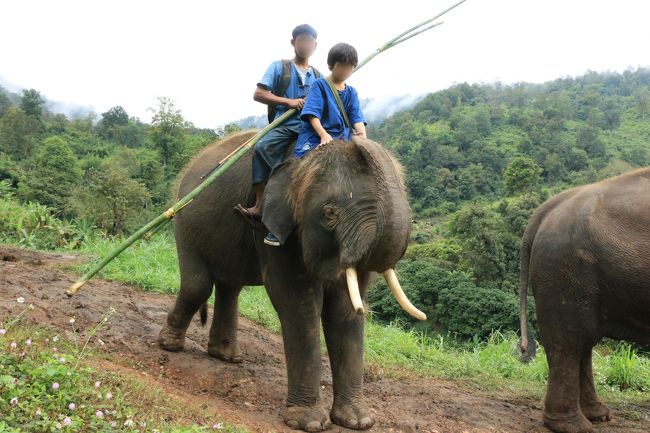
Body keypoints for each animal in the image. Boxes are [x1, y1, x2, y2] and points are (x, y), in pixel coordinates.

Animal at [154, 130, 422, 430]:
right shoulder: (273, 226)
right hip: (185, 220)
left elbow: (345, 309)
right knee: (197, 285)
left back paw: (227, 356)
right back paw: (170, 345)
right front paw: (310, 423)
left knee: (229, 286)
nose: (356, 135)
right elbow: (296, 300)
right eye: (330, 214)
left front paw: (358, 421)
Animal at [516, 166, 648, 432]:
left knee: (582, 342)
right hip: (563, 268)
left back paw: (597, 415)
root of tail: (547, 208)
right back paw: (576, 426)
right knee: (568, 342)